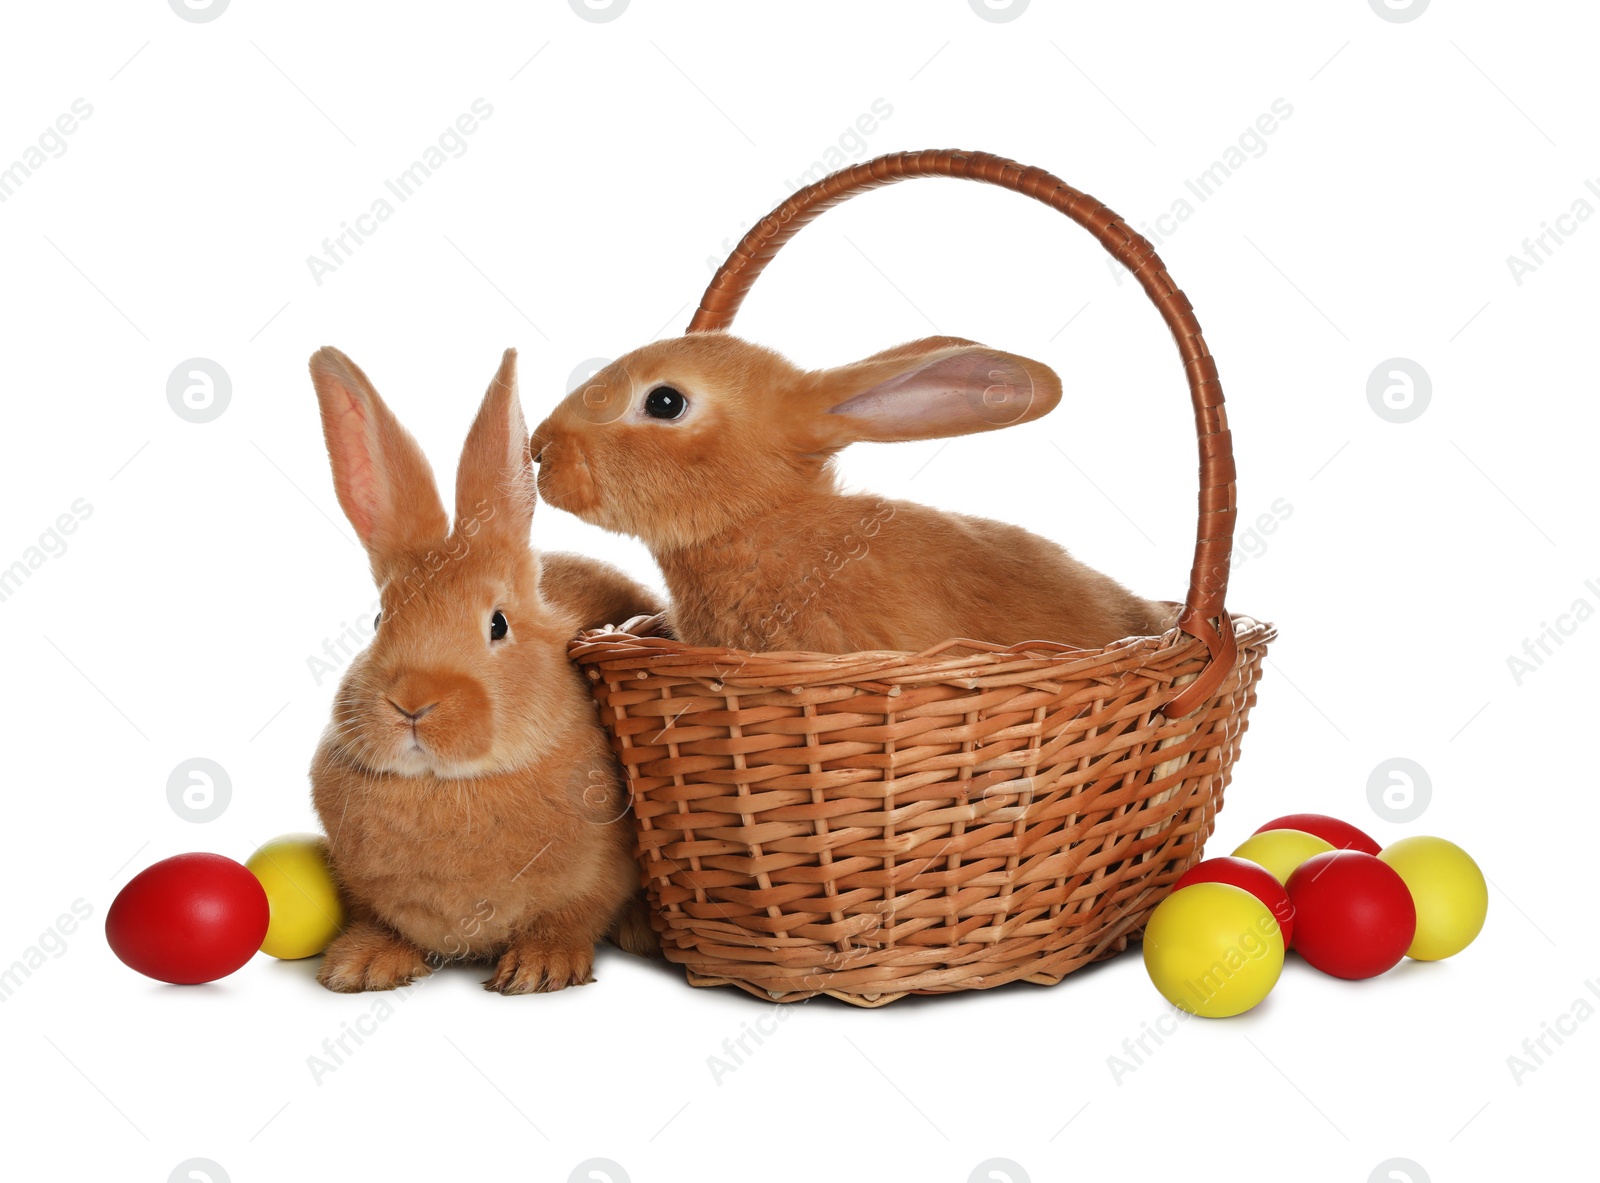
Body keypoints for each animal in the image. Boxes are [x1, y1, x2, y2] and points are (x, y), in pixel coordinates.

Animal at [308, 347, 659, 992]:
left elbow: (572, 917)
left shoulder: (599, 877)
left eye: (498, 624)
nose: (413, 703)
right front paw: (360, 966)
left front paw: (539, 969)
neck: (447, 786)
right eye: (379, 619)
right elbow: (381, 922)